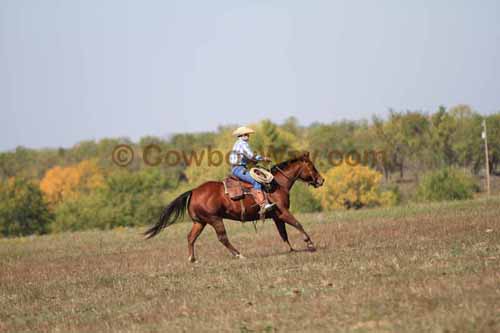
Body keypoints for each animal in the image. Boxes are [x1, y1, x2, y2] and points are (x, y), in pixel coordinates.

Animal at [145, 151, 324, 262]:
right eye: (312, 166)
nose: (321, 180)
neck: (277, 184)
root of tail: (194, 191)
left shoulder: (276, 216)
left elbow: (283, 233)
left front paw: (292, 250)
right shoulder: (283, 212)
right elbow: (297, 223)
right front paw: (309, 243)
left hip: (200, 222)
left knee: (191, 237)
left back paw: (192, 259)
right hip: (215, 219)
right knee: (222, 238)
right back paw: (239, 255)